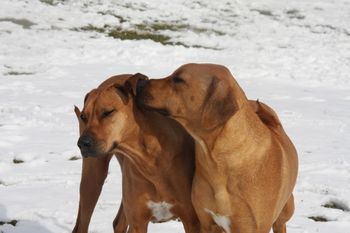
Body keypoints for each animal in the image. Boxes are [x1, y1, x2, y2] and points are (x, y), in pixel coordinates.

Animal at [71, 74, 201, 233]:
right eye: (84, 116)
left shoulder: (192, 221)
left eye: (107, 112)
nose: (82, 143)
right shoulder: (138, 222)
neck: (152, 160)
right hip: (93, 178)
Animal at [137, 63, 298, 233]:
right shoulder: (207, 222)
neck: (219, 164)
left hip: (285, 211)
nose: (141, 82)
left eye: (178, 79)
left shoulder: (252, 226)